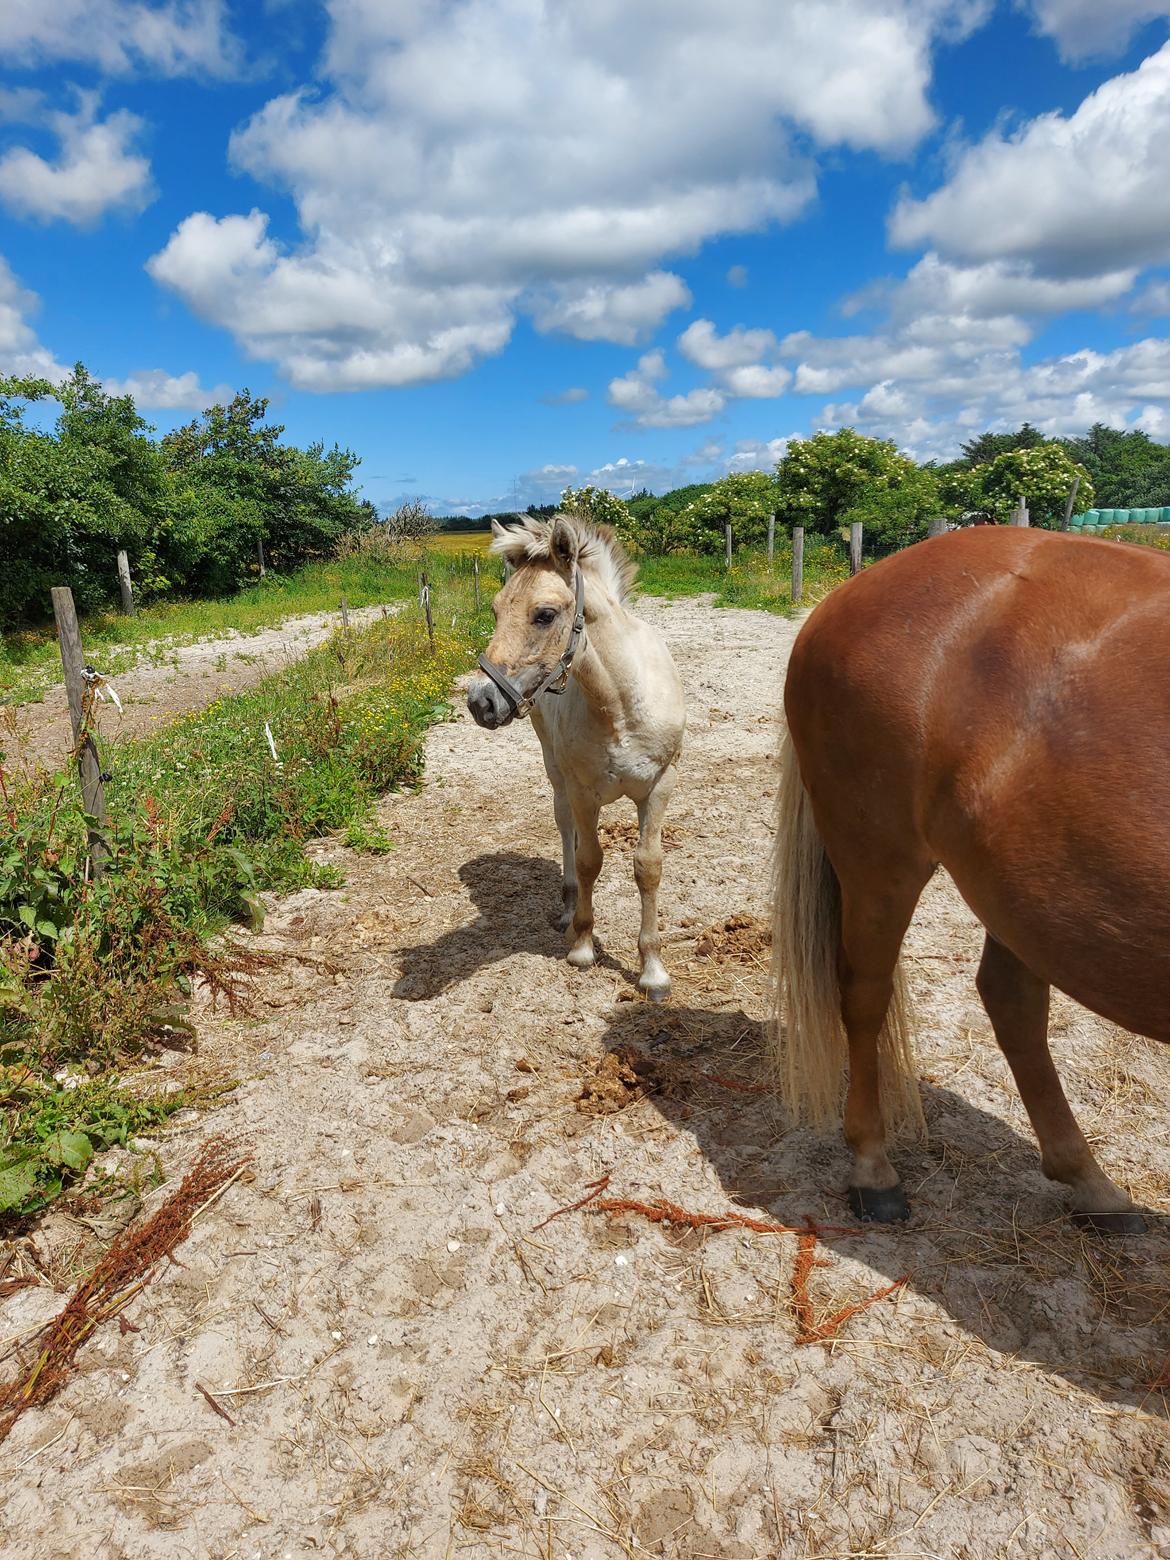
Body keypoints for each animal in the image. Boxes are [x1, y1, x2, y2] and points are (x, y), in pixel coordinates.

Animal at [770, 524, 1170, 1229]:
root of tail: (845, 594)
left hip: (1024, 895)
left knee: (1011, 1002)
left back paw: (1090, 1182)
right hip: (880, 862)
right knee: (864, 995)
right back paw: (874, 1170)